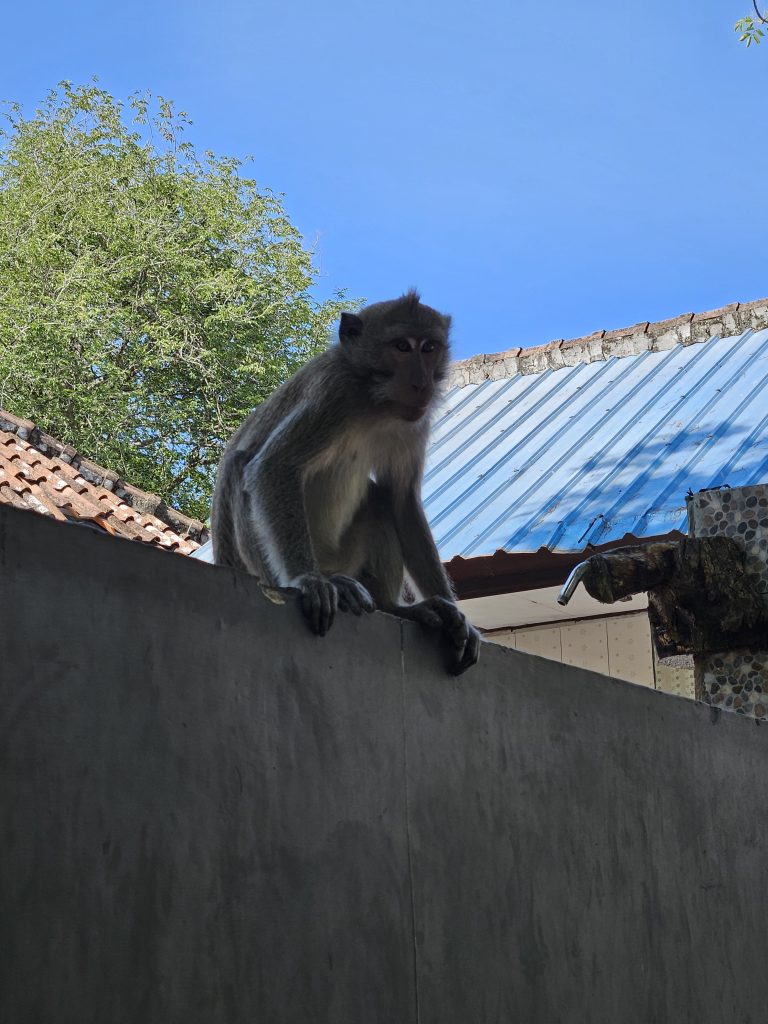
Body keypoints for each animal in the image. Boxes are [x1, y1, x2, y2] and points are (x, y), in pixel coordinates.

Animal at [211, 290, 480, 675]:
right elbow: (275, 466)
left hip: (346, 555)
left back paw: (392, 606)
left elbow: (401, 500)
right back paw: (313, 583)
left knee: (379, 499)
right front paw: (305, 581)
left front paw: (455, 616)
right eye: (402, 346)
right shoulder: (333, 394)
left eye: (429, 348)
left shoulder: (414, 422)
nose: (422, 383)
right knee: (241, 464)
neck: (375, 400)